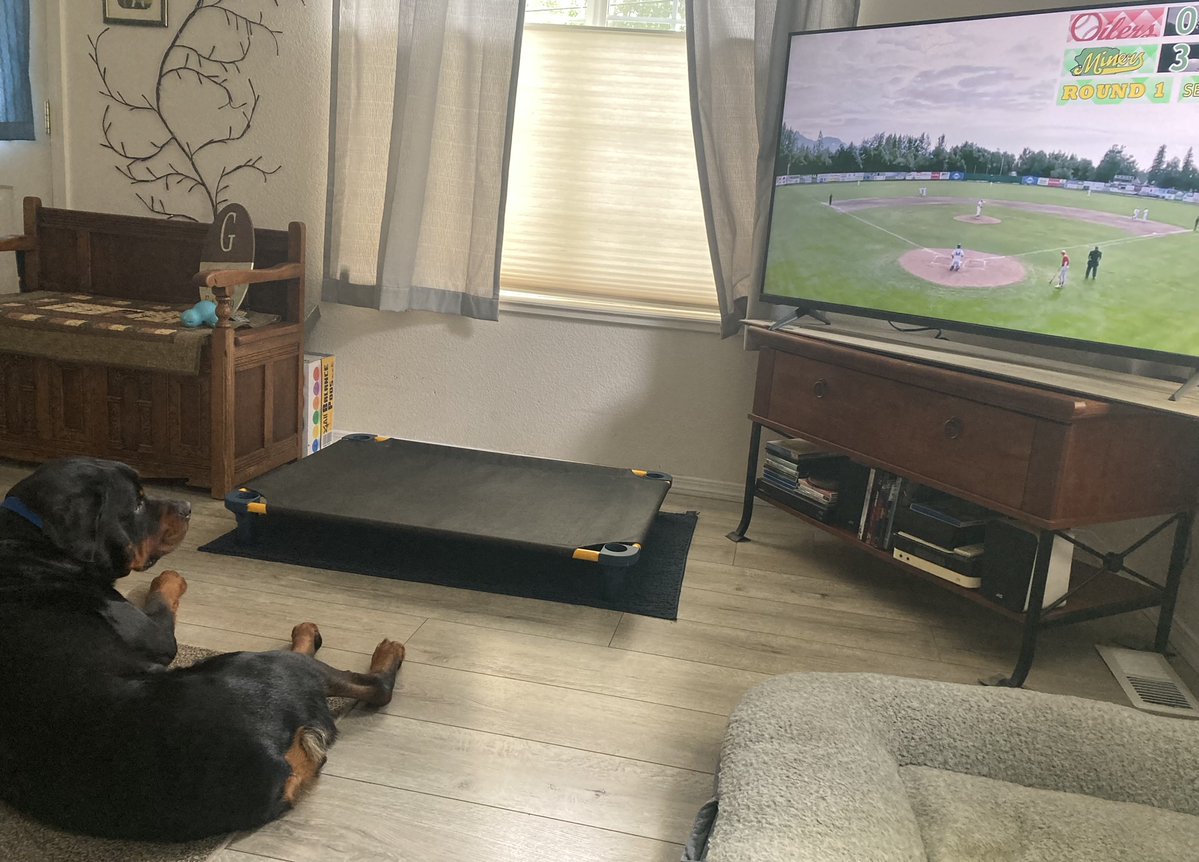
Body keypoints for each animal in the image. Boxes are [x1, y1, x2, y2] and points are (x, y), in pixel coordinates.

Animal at [0, 457, 405, 844]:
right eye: (137, 504)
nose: (187, 506)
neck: (37, 540)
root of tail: (282, 761)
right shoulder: (160, 638)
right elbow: (162, 598)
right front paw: (170, 577)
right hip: (262, 663)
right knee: (371, 687)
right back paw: (369, 646)